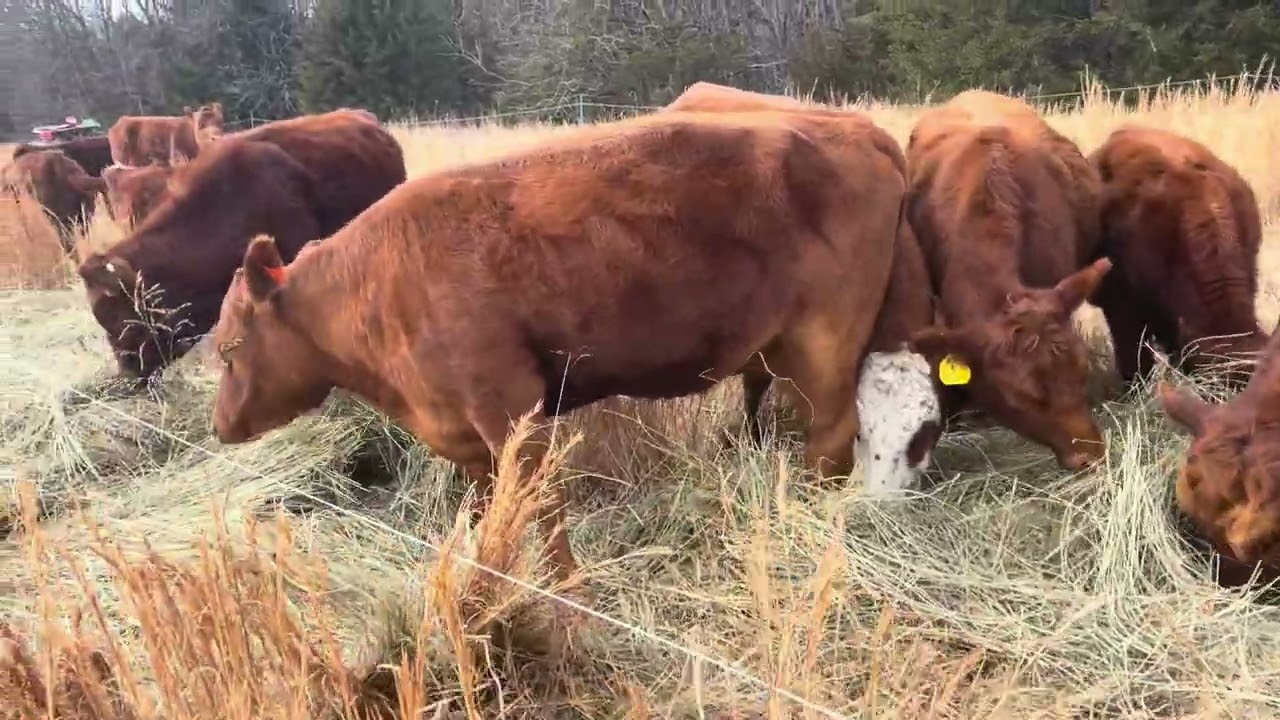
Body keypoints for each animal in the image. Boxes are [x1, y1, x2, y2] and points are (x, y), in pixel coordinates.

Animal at [206, 113, 906, 584]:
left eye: (231, 346)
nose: (220, 426)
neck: (375, 285)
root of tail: (855, 129)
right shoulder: (470, 437)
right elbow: (492, 508)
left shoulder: (512, 408)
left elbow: (541, 507)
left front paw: (567, 588)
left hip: (825, 340)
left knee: (832, 432)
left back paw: (811, 514)